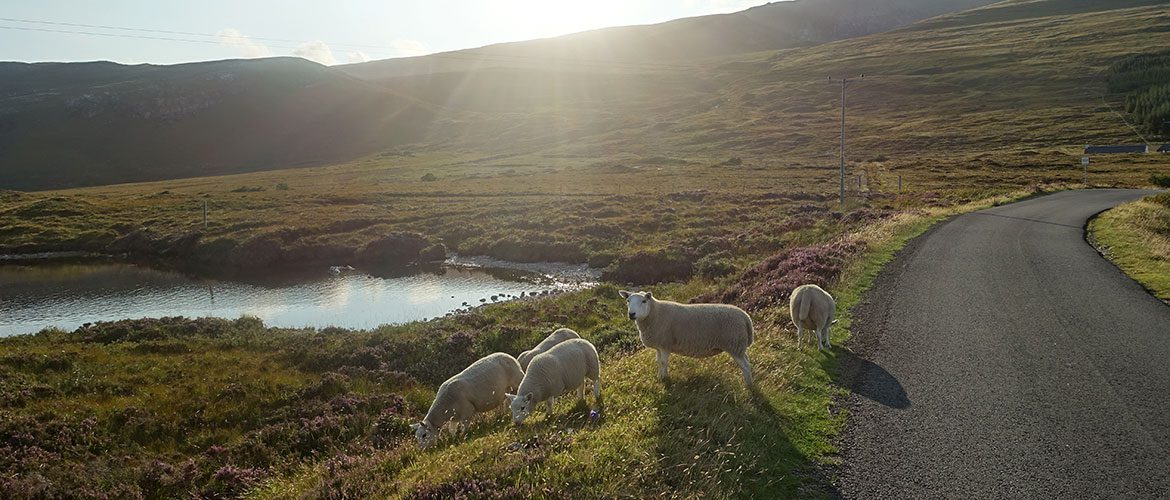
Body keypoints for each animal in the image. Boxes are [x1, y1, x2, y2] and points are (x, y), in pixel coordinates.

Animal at [617, 289, 753, 388]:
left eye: (644, 301)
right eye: (628, 300)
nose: (631, 314)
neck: (654, 313)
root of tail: (745, 317)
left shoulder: (665, 344)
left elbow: (663, 362)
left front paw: (665, 379)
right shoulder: (659, 346)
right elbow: (658, 362)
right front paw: (660, 377)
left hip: (734, 344)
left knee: (746, 366)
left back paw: (749, 386)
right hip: (739, 347)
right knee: (747, 362)